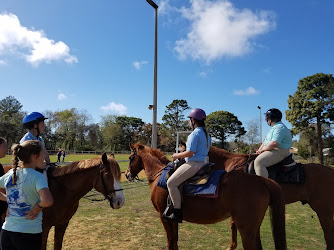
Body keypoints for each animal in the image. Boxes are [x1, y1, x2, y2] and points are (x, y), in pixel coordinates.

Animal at [125, 143, 288, 250]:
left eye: (130, 157)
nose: (126, 174)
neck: (159, 175)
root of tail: (262, 180)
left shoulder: (163, 216)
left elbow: (170, 242)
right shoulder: (173, 218)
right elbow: (175, 241)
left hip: (246, 228)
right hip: (253, 228)